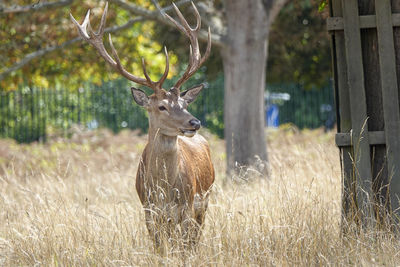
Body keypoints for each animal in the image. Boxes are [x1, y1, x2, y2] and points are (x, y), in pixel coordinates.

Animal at [72, 2, 216, 251]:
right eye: (161, 107)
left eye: (184, 104)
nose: (194, 122)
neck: (164, 191)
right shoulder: (149, 210)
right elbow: (160, 249)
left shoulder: (187, 207)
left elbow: (184, 248)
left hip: (205, 199)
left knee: (195, 239)